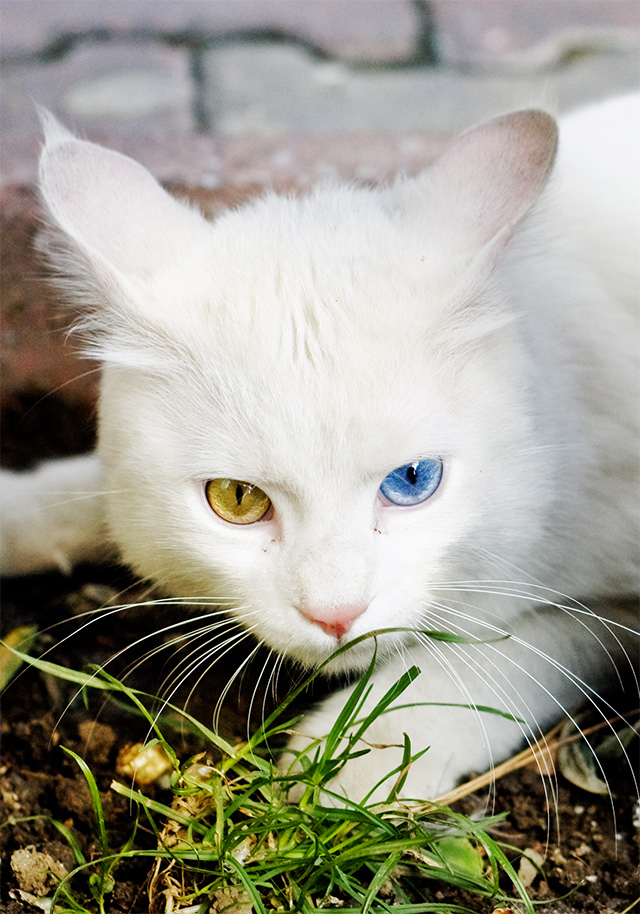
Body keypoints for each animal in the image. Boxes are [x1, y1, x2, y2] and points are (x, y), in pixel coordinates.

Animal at [1, 94, 640, 800]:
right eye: (237, 498)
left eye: (413, 479)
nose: (336, 613)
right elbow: (79, 494)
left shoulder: (608, 606)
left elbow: (483, 659)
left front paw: (355, 762)